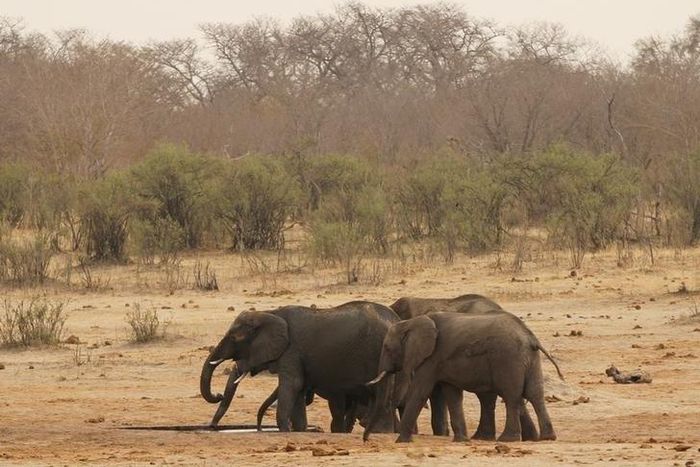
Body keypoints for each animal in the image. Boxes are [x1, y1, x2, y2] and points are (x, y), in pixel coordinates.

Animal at [200, 301, 399, 433]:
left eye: (234, 338)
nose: (218, 395)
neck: (270, 313)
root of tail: (395, 320)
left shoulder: (291, 351)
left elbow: (292, 385)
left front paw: (284, 431)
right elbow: (299, 389)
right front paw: (298, 431)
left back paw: (381, 432)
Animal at [364, 312, 561, 443]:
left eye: (387, 348)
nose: (366, 440)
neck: (411, 322)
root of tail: (531, 338)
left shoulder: (431, 358)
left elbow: (419, 392)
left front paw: (401, 442)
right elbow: (453, 395)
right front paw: (462, 440)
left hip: (508, 358)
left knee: (512, 396)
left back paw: (507, 440)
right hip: (529, 360)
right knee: (535, 394)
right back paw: (547, 437)